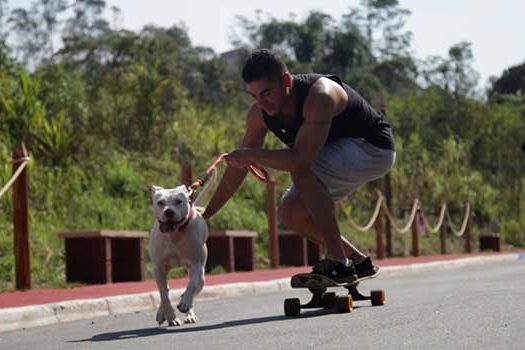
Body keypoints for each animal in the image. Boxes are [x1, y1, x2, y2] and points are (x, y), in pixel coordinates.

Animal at [147, 170, 215, 326]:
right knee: (165, 290)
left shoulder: (197, 265)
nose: (169, 212)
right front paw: (170, 316)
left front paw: (184, 303)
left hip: (201, 277)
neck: (174, 234)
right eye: (160, 202)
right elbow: (164, 295)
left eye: (179, 201)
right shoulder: (158, 268)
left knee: (195, 287)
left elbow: (191, 286)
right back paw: (162, 313)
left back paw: (188, 311)